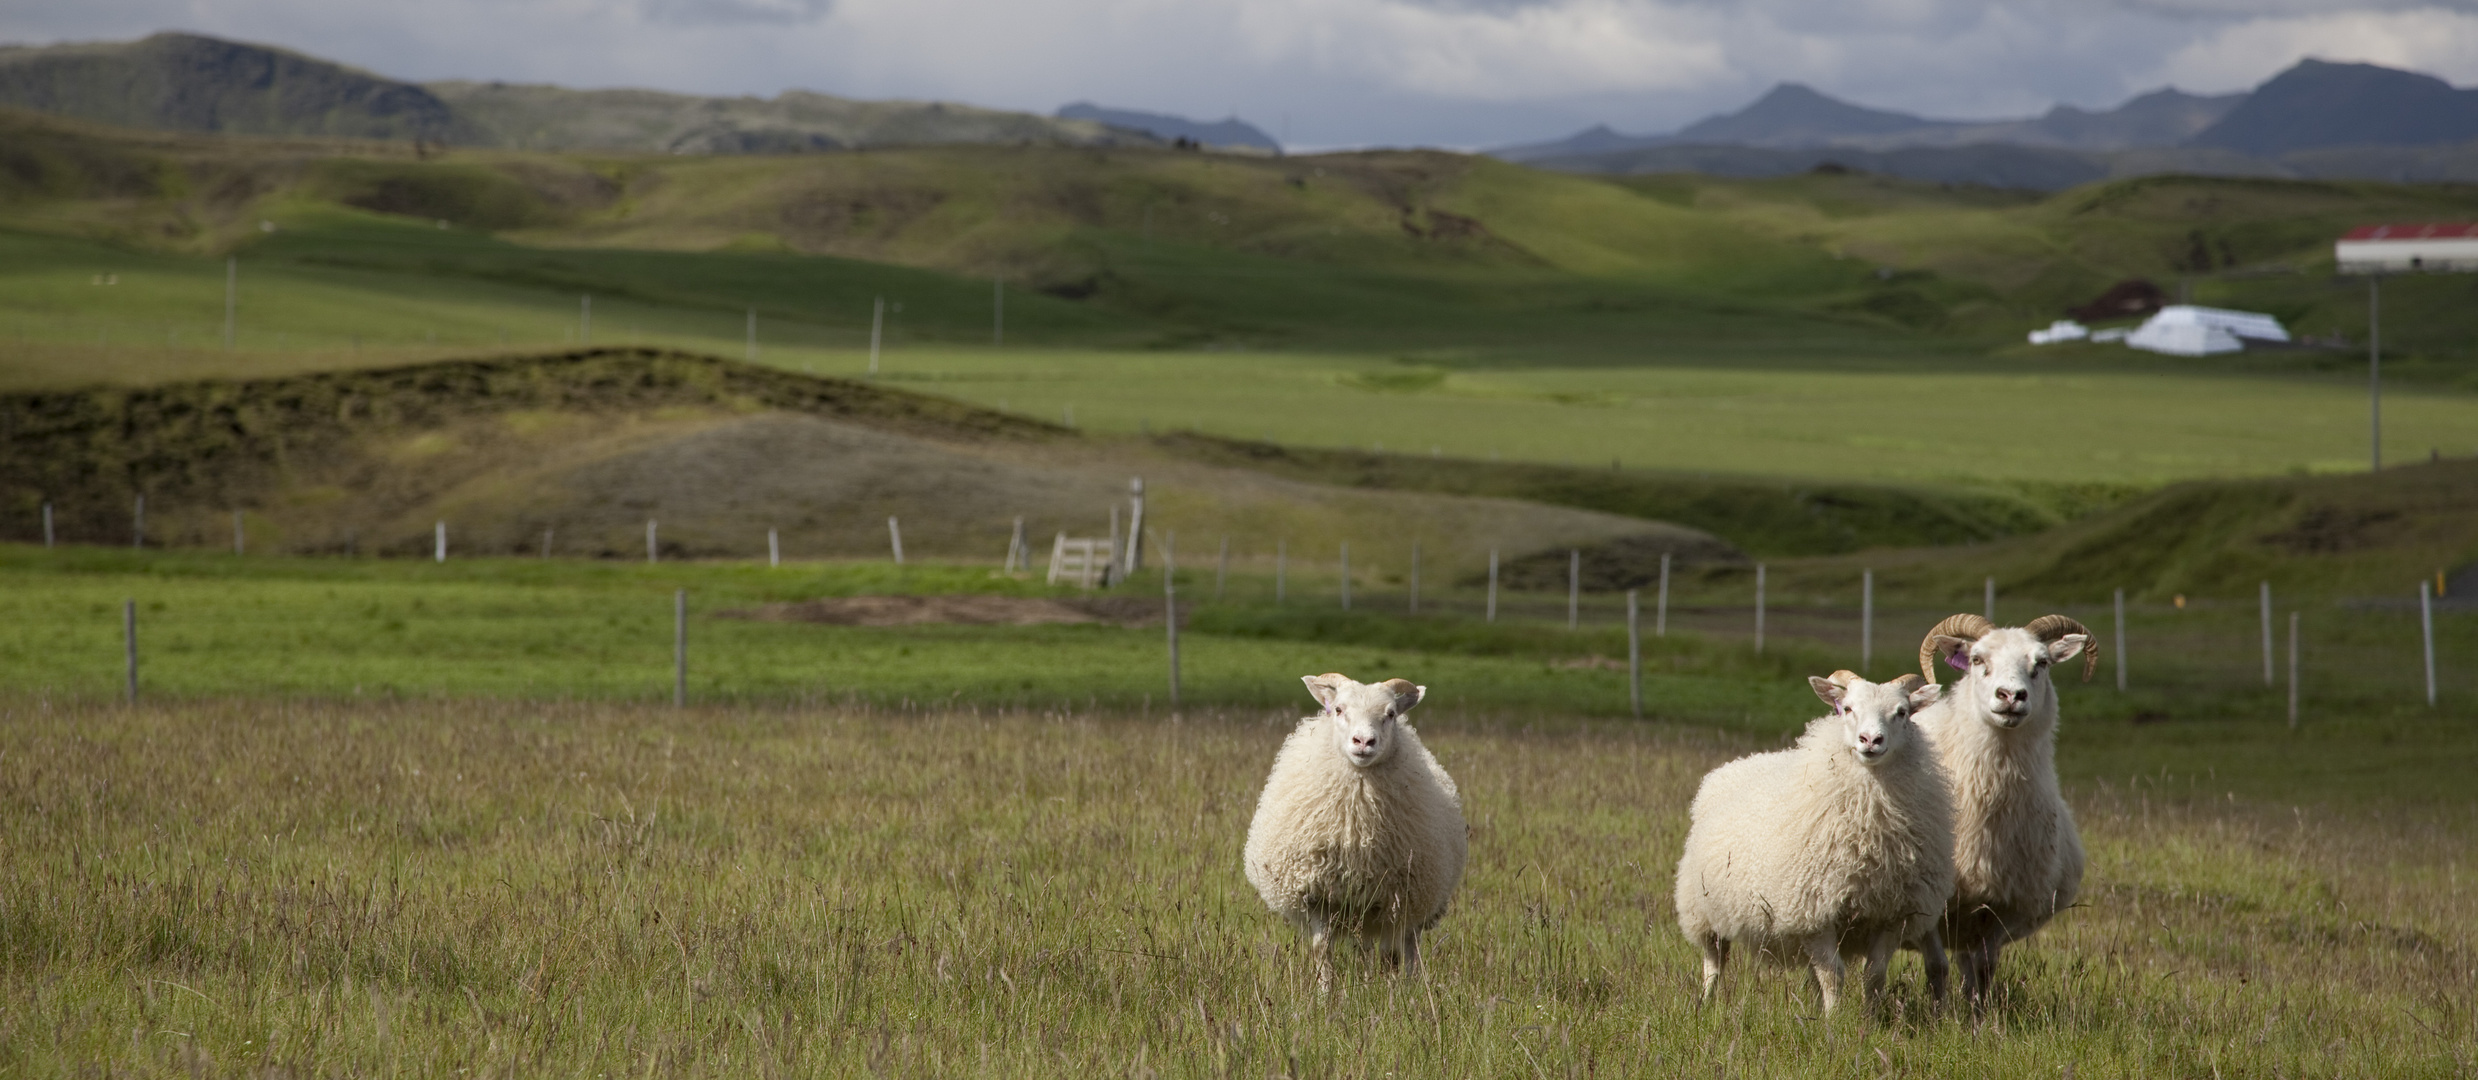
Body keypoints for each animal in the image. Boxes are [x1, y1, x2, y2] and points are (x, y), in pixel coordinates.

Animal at [1239, 673, 1466, 995]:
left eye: (1391, 714)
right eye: (1338, 709)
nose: (1364, 742)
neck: (1356, 831)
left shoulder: (1393, 900)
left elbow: (1390, 957)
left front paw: (1389, 997)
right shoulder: (1317, 896)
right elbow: (1322, 951)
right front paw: (1325, 996)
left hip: (1413, 903)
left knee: (1408, 949)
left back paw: (1409, 987)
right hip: (1360, 909)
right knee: (1364, 948)